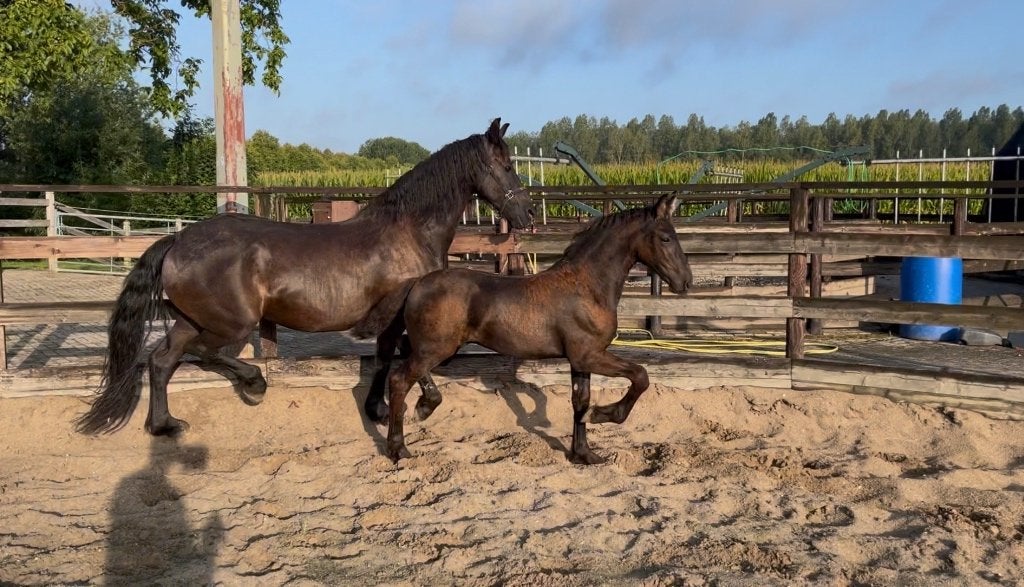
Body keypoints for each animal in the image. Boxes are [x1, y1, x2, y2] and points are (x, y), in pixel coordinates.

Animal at [75, 118, 534, 436]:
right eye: (507, 165)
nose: (528, 214)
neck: (408, 231)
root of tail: (177, 241)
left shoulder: (391, 320)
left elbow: (384, 358)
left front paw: (377, 408)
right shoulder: (397, 316)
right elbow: (405, 358)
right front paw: (416, 406)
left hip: (190, 319)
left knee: (161, 361)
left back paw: (165, 425)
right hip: (231, 324)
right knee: (203, 353)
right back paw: (255, 383)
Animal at [385, 193, 691, 465]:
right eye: (665, 238)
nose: (685, 282)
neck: (587, 286)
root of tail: (417, 284)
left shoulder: (580, 360)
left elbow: (580, 401)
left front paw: (584, 454)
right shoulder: (589, 355)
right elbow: (640, 375)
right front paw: (603, 415)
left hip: (434, 348)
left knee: (406, 358)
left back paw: (426, 405)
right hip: (435, 348)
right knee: (399, 380)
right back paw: (398, 449)